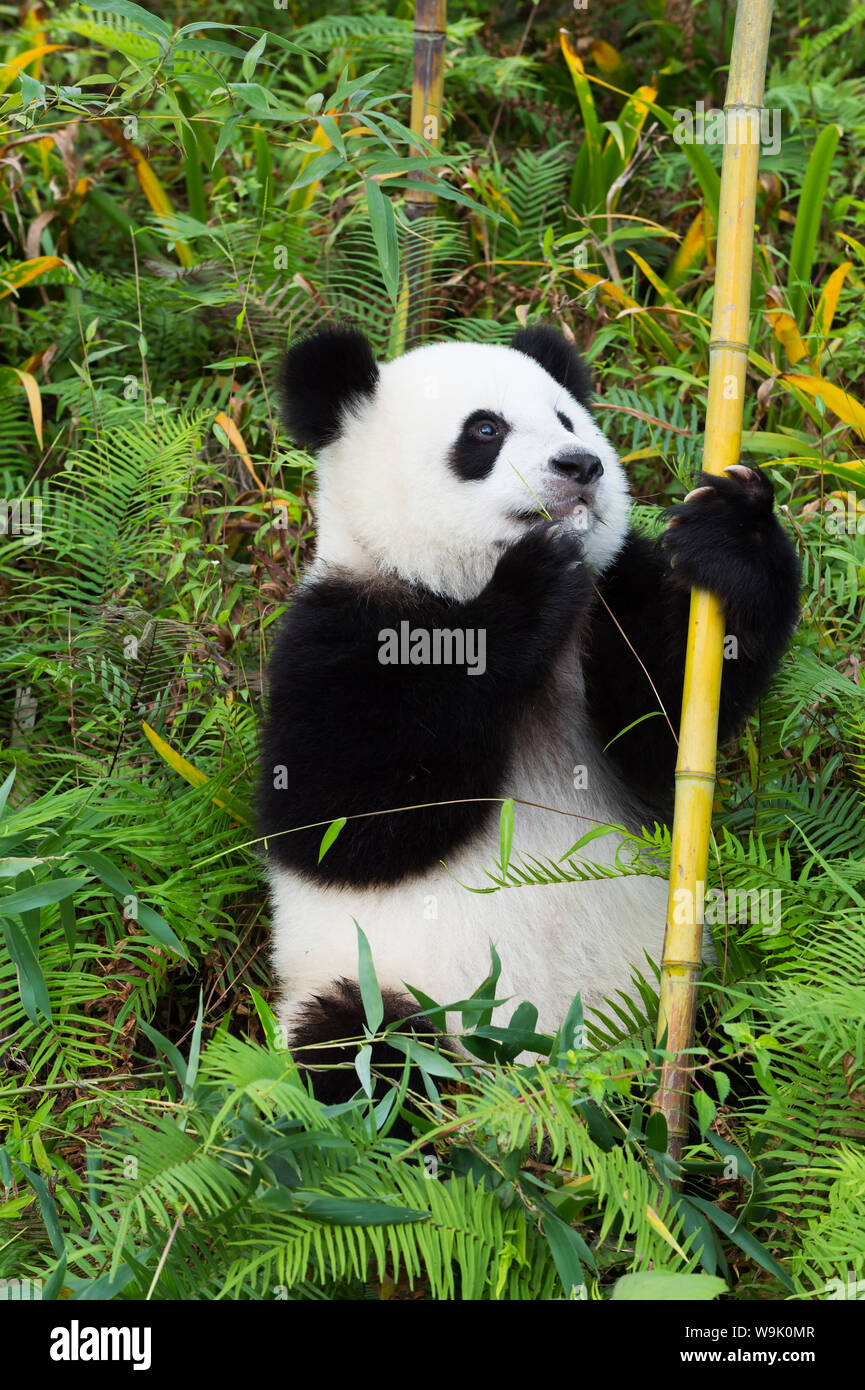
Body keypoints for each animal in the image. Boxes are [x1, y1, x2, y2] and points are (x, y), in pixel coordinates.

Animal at [257, 323, 800, 1100]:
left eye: (568, 420)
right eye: (484, 430)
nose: (580, 466)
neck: (452, 586)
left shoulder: (607, 606)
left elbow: (663, 724)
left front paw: (734, 532)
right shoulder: (336, 631)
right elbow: (339, 818)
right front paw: (528, 588)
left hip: (689, 996)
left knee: (752, 1037)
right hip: (381, 989)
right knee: (358, 1051)